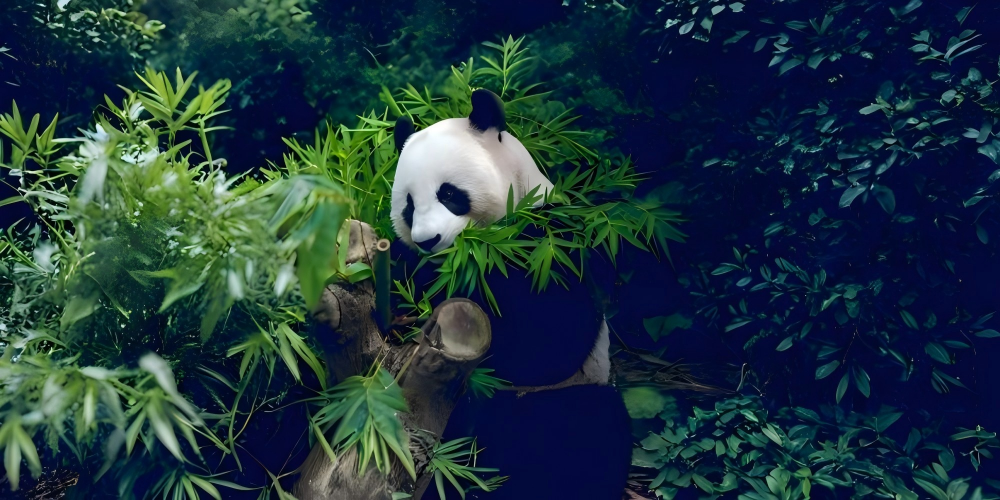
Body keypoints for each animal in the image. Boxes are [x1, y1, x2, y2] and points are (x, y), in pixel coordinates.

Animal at [390, 89, 633, 500]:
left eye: (449, 193)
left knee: (586, 434)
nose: (428, 240)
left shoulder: (549, 246)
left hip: (565, 394)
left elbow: (547, 341)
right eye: (408, 205)